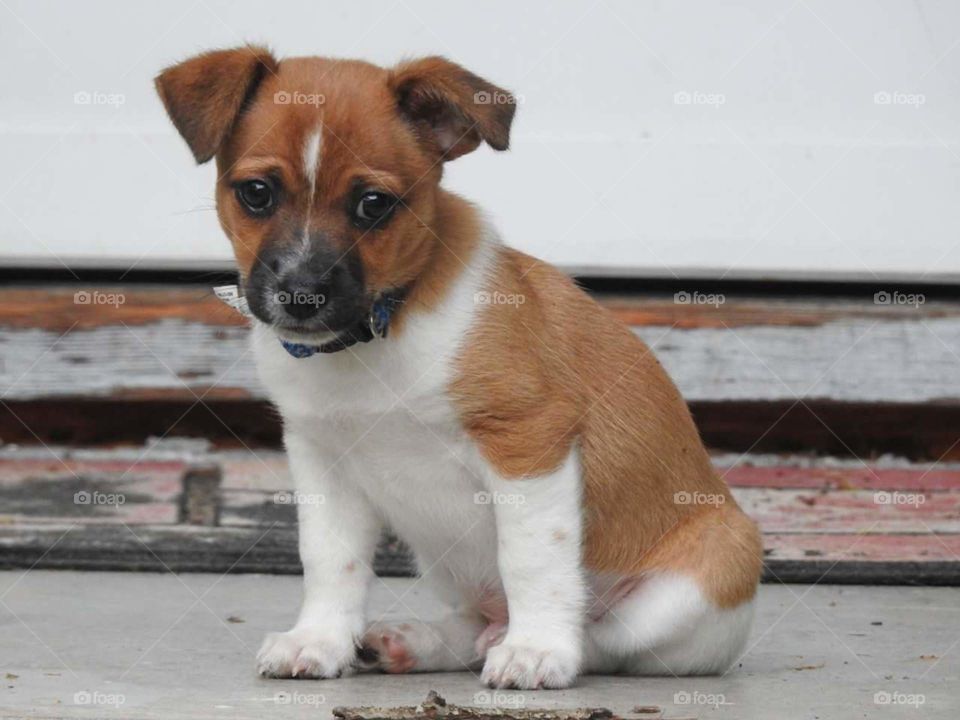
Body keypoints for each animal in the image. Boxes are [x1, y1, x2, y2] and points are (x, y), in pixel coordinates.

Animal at [156, 47, 756, 688]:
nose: (301, 294)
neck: (379, 331)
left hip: (686, 592)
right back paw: (412, 642)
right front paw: (319, 640)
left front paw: (538, 648)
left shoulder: (527, 442)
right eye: (257, 193)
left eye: (374, 204)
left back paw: (528, 645)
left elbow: (532, 559)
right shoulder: (323, 461)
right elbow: (330, 560)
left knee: (605, 642)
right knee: (474, 628)